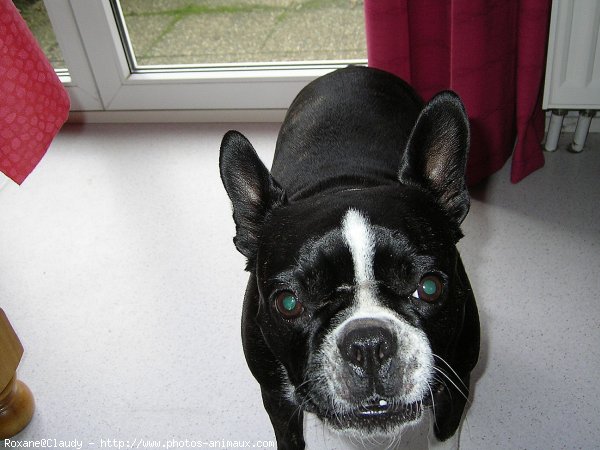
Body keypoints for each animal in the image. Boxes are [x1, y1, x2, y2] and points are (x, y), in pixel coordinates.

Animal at [219, 65, 478, 448]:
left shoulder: (455, 391)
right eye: (288, 303)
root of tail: (352, 68)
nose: (368, 344)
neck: (345, 182)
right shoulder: (278, 401)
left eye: (430, 288)